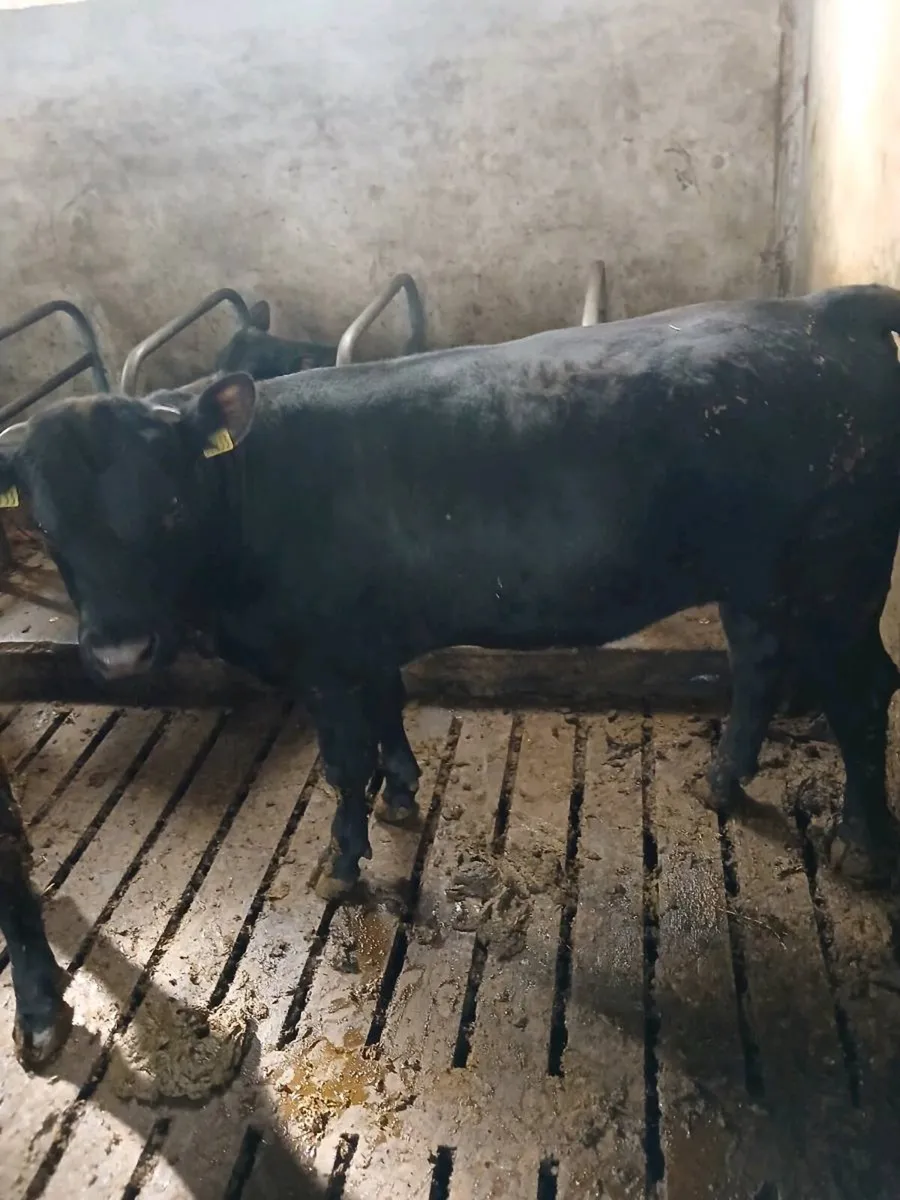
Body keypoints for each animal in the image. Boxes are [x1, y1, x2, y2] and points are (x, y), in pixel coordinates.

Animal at [1, 284, 899, 1066]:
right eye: (45, 523)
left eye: (168, 507)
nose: (119, 652)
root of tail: (825, 307)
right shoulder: (367, 640)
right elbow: (390, 709)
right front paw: (401, 792)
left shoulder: (323, 657)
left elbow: (342, 764)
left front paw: (343, 862)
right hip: (757, 580)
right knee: (760, 663)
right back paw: (723, 780)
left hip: (837, 583)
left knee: (862, 697)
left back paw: (860, 843)